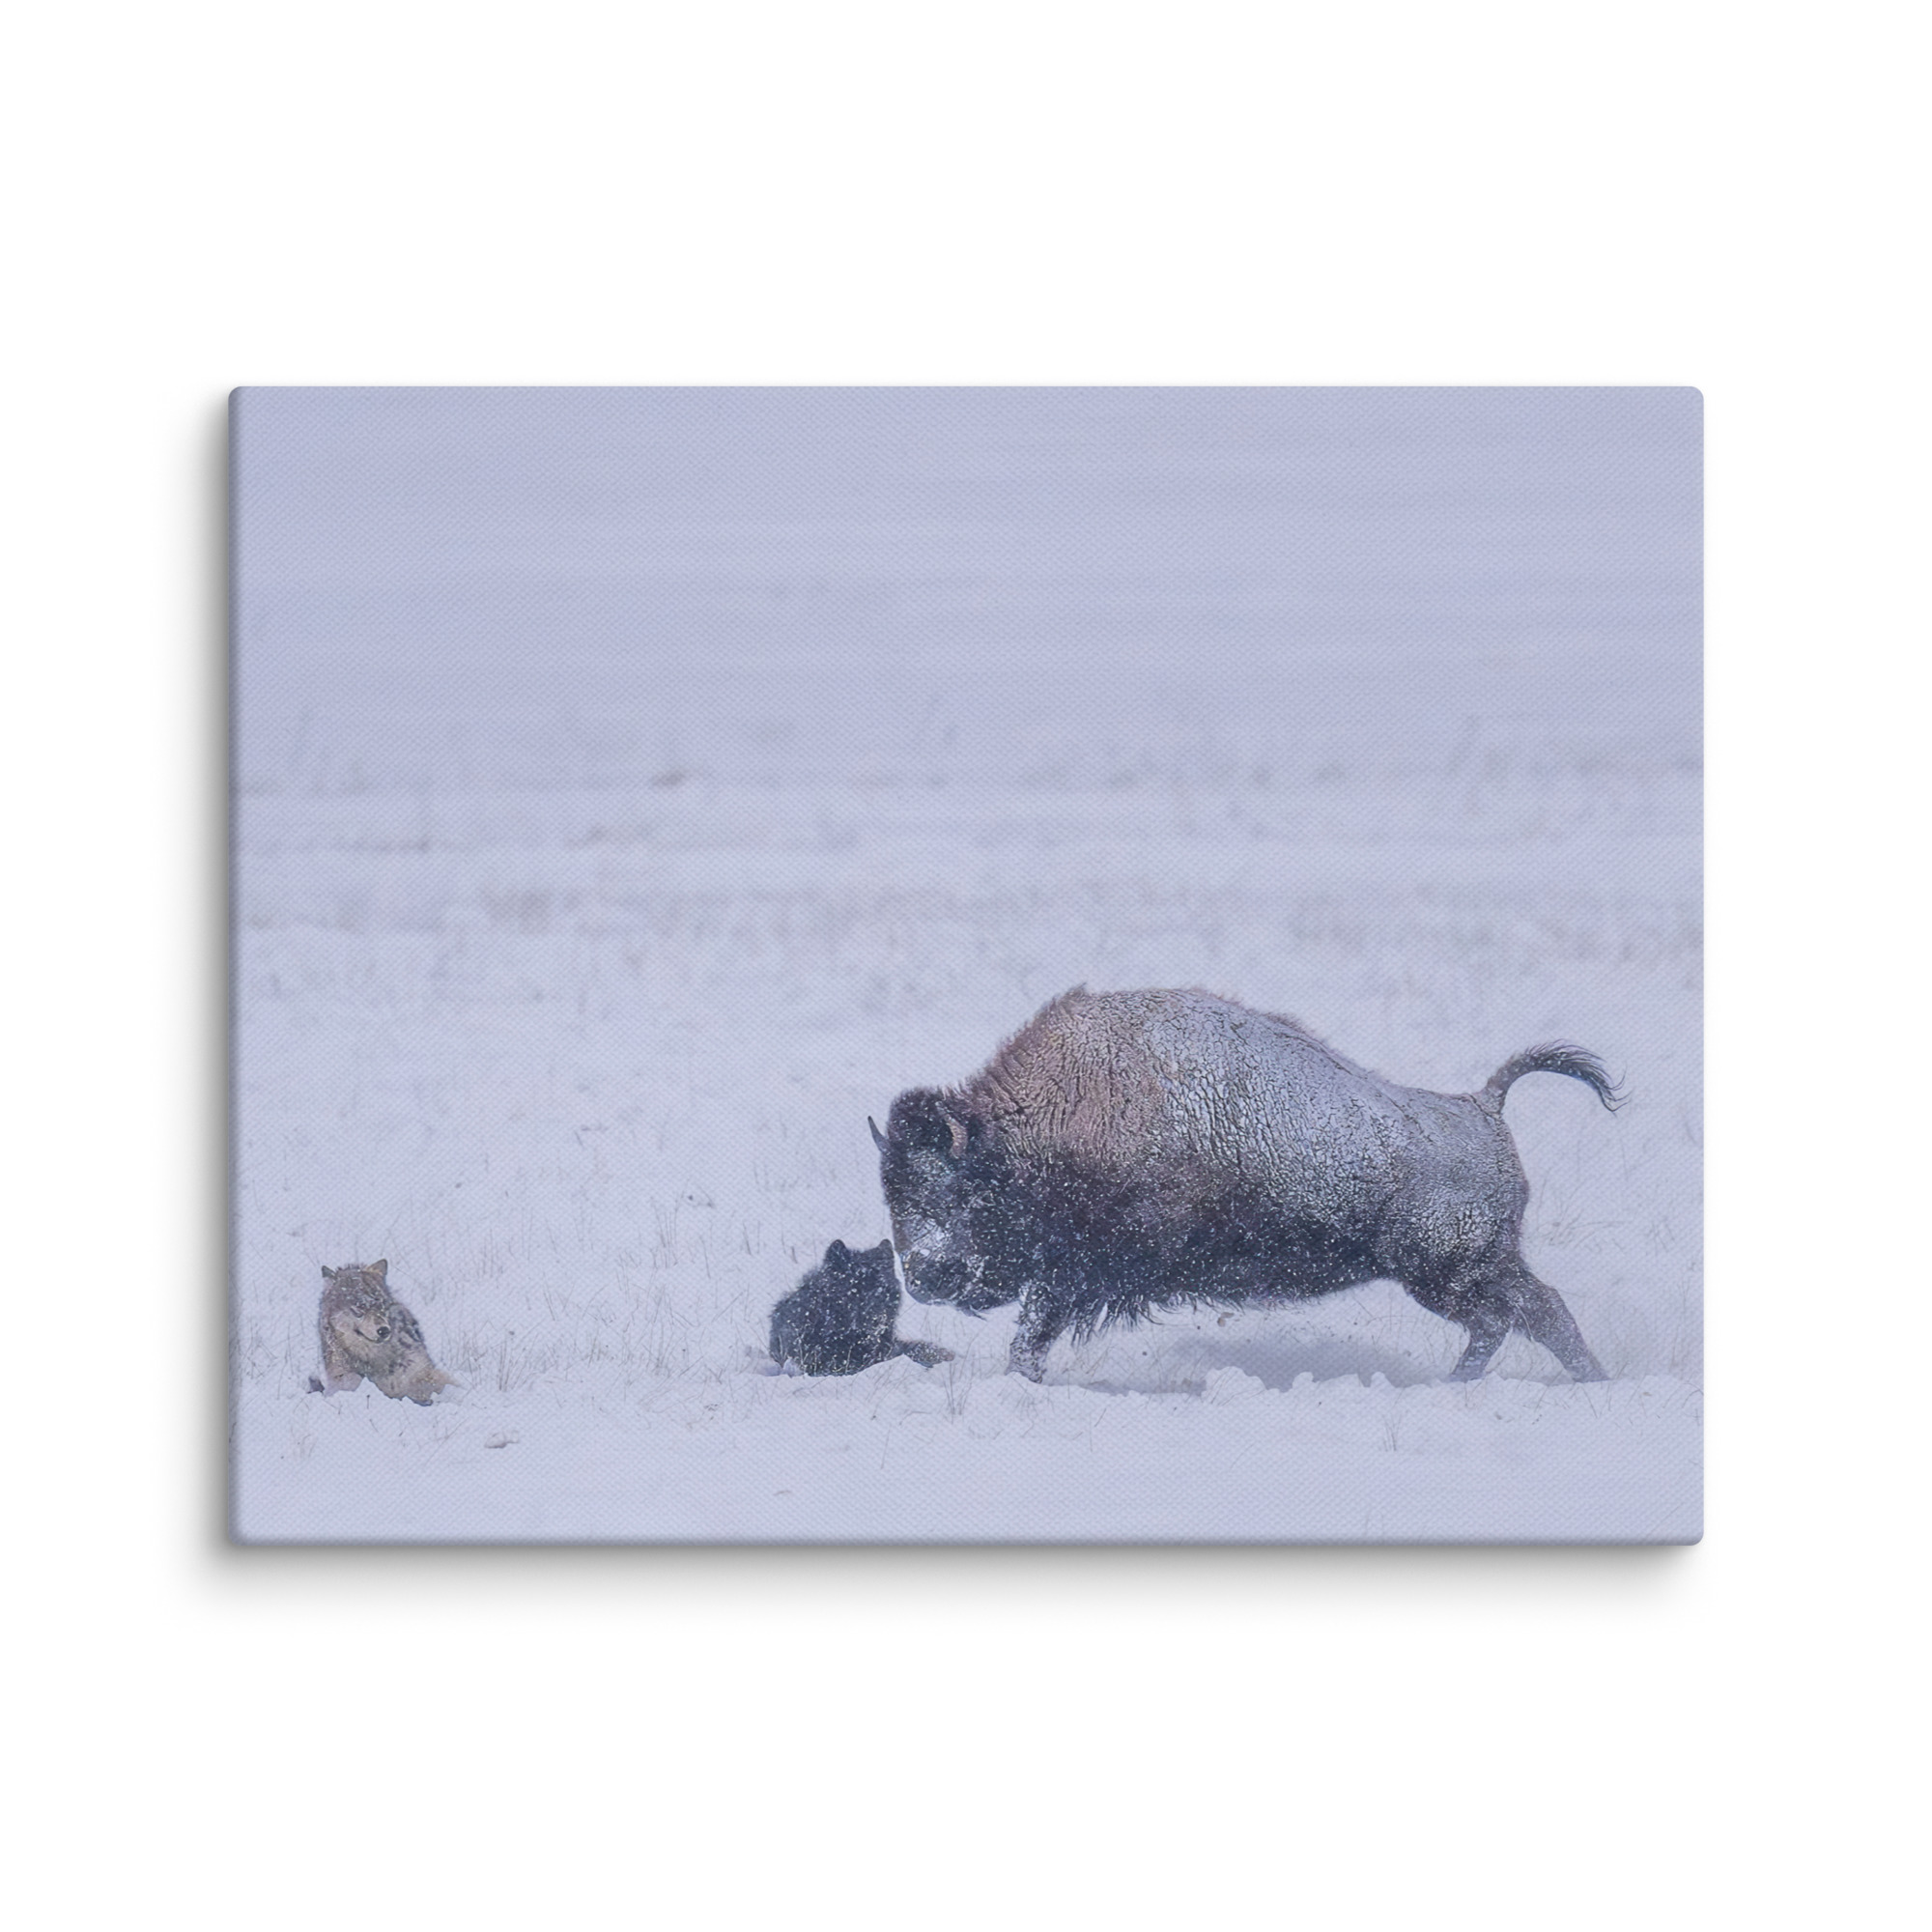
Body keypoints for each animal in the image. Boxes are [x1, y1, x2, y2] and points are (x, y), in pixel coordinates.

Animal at [870, 986, 1620, 1384]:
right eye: (893, 1195)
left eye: (957, 1192)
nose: (923, 1275)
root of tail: (1482, 1106)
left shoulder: (1077, 1275)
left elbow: (1031, 1332)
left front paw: (1023, 1377)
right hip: (1461, 1271)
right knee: (1518, 1317)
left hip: (1449, 1271)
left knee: (1526, 1313)